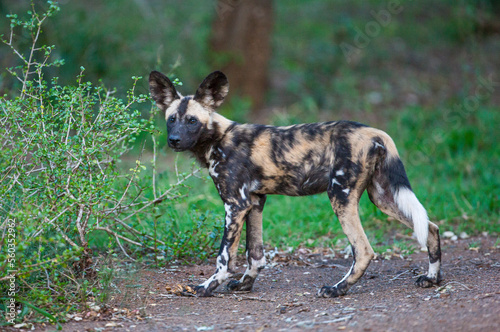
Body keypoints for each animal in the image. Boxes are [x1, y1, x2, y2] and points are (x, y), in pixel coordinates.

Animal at [148, 70, 442, 298]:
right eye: (171, 119)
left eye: (192, 121)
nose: (174, 140)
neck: (219, 139)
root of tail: (375, 132)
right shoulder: (254, 202)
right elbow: (255, 254)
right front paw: (244, 285)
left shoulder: (234, 206)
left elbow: (224, 257)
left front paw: (206, 287)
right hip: (382, 197)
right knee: (430, 227)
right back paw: (431, 278)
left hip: (340, 196)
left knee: (364, 251)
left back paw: (337, 289)